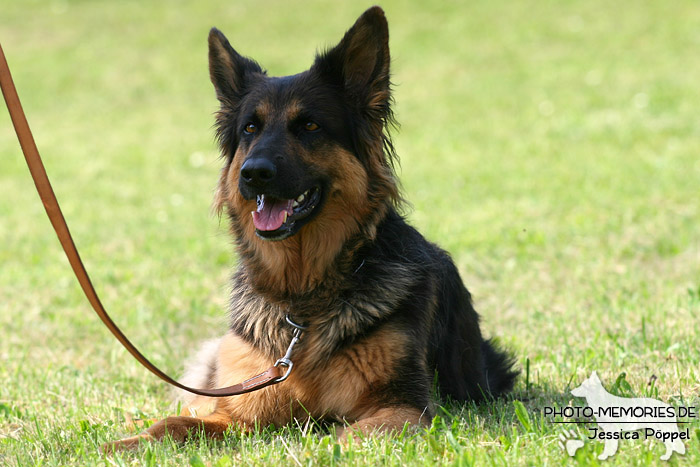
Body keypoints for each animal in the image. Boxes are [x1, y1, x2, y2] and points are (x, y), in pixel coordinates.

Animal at [106, 5, 516, 452]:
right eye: (250, 128)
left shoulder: (404, 409)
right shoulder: (240, 410)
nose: (254, 174)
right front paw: (124, 443)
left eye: (310, 126)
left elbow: (343, 437)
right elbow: (173, 424)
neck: (302, 298)